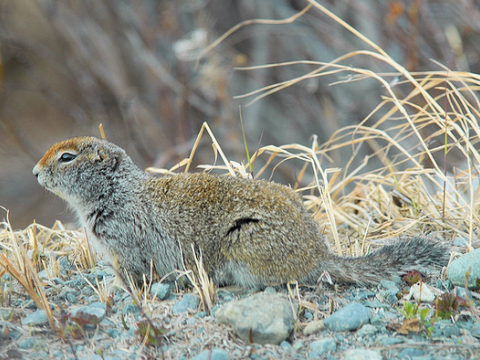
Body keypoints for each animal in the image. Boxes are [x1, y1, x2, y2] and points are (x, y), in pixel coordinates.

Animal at [33, 136, 450, 288]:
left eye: (67, 157)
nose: (35, 173)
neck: (118, 192)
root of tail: (318, 254)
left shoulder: (125, 245)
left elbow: (133, 276)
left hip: (245, 243)